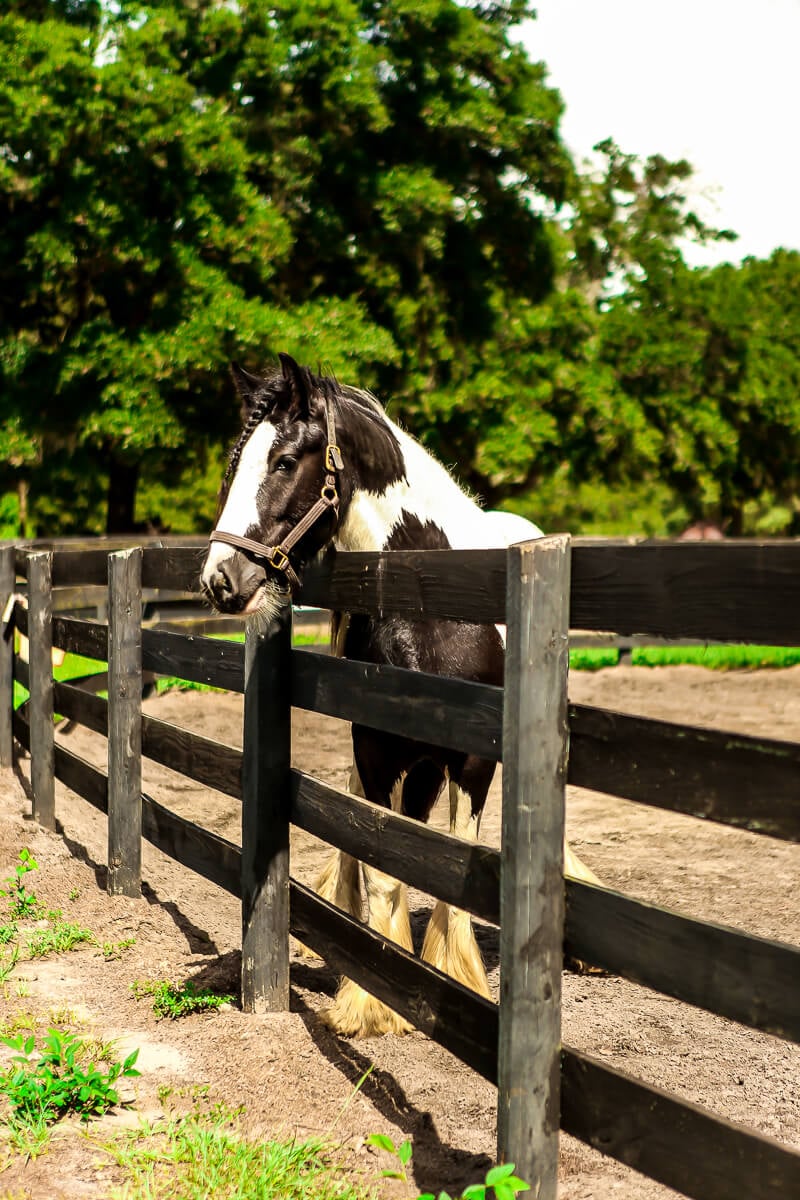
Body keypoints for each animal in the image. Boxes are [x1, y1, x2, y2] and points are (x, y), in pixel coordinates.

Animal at [203, 350, 597, 1036]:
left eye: (284, 461)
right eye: (234, 465)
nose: (219, 579)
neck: (435, 605)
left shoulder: (473, 762)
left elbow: (451, 869)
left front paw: (452, 977)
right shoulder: (378, 753)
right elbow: (388, 867)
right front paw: (374, 1000)